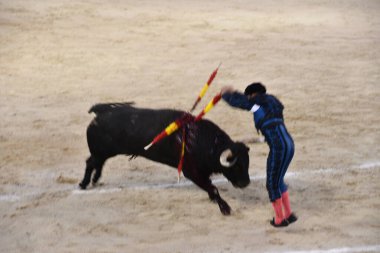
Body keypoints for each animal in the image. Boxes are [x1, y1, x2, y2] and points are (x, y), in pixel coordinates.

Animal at [79, 102, 251, 214]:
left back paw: (94, 180)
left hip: (103, 152)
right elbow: (213, 188)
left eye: (247, 164)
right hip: (100, 152)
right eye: (236, 165)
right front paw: (225, 208)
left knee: (98, 163)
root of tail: (101, 111)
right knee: (90, 163)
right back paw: (83, 184)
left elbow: (210, 187)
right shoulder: (191, 172)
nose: (246, 183)